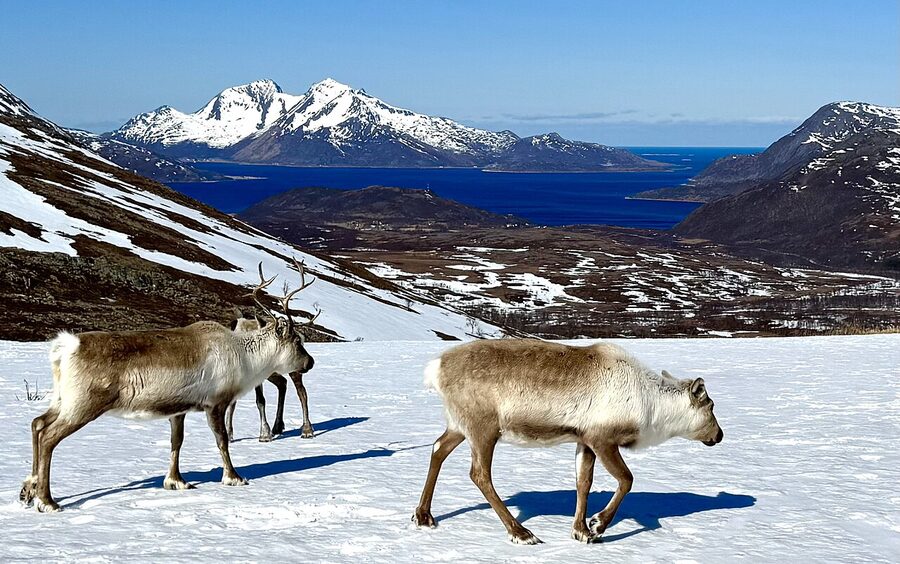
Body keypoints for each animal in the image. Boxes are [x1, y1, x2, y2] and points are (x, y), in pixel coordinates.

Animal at [226, 309, 318, 442]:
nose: (311, 362)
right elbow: (232, 403)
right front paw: (228, 434)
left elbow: (260, 400)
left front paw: (264, 434)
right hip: (272, 373)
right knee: (283, 383)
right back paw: (278, 426)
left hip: (294, 368)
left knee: (302, 392)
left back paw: (307, 430)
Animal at [412, 338, 723, 544]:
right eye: (710, 406)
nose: (719, 435)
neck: (652, 406)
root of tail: (436, 368)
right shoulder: (602, 438)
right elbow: (626, 479)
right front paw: (597, 525)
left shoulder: (584, 439)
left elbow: (583, 483)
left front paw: (580, 530)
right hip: (484, 427)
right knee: (479, 473)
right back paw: (520, 532)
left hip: (459, 425)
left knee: (438, 449)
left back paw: (423, 515)